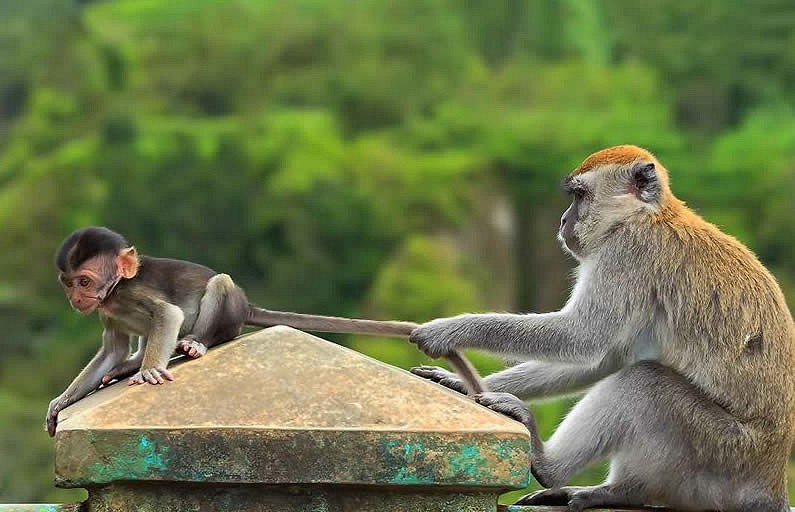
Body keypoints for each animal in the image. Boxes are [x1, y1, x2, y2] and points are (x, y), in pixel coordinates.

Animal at [51, 227, 486, 436]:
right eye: (69, 284)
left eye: (85, 282)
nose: (76, 299)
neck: (114, 293)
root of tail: (247, 306)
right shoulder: (109, 312)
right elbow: (111, 348)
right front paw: (61, 402)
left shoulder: (134, 293)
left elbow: (168, 314)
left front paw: (151, 371)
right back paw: (130, 365)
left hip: (229, 309)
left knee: (219, 285)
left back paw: (194, 345)